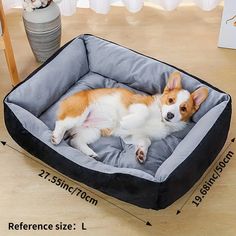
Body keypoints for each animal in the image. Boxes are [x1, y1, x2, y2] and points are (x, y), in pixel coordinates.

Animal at [50, 72, 207, 163]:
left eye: (183, 108)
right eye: (170, 100)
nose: (170, 115)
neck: (160, 119)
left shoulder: (135, 136)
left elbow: (146, 141)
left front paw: (142, 153)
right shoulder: (138, 104)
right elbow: (143, 113)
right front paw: (126, 122)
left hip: (92, 131)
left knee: (75, 141)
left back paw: (90, 153)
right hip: (79, 113)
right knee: (61, 123)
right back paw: (56, 137)